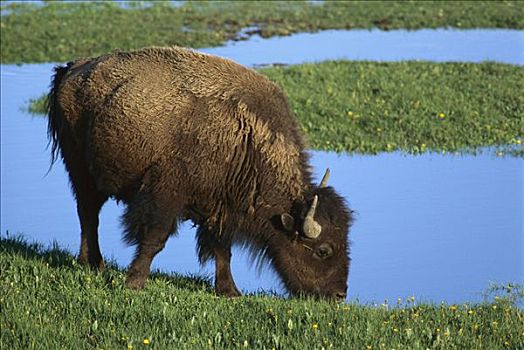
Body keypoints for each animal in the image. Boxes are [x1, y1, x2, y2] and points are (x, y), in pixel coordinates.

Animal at [48, 45, 352, 298]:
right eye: (323, 250)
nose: (338, 295)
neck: (246, 139)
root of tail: (72, 69)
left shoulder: (221, 210)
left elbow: (222, 250)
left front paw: (230, 291)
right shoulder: (166, 196)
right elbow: (155, 239)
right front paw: (134, 282)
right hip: (81, 170)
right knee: (89, 214)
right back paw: (95, 263)